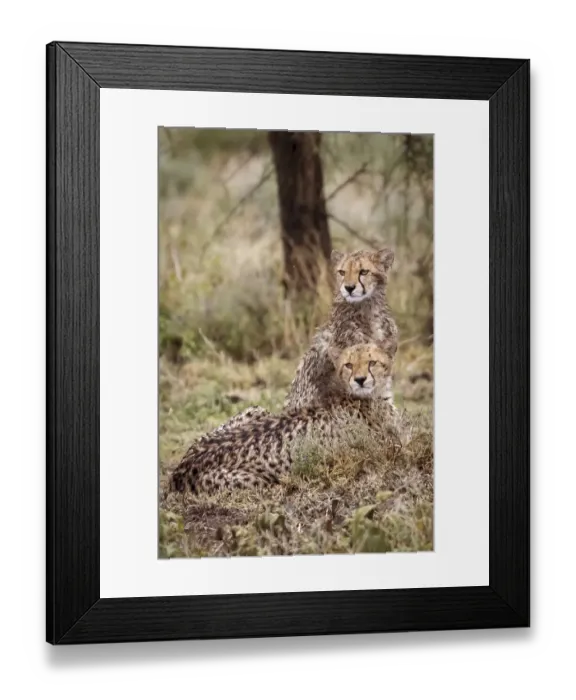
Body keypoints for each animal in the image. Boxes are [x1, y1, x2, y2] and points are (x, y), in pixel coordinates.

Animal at [168, 342, 398, 495]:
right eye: (349, 364)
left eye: (372, 362)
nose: (360, 380)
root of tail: (182, 467)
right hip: (258, 483)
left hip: (257, 409)